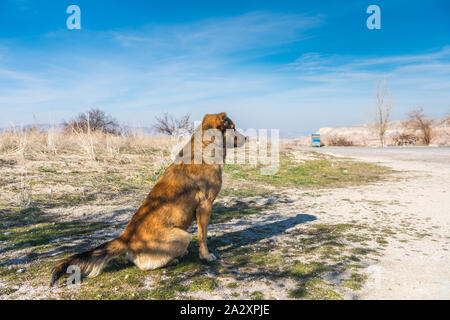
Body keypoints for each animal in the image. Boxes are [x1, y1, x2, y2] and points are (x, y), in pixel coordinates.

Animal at [50, 112, 246, 284]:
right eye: (233, 127)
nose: (246, 138)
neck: (206, 146)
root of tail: (126, 238)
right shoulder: (205, 206)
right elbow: (202, 236)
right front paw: (206, 256)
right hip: (183, 236)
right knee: (145, 265)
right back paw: (173, 259)